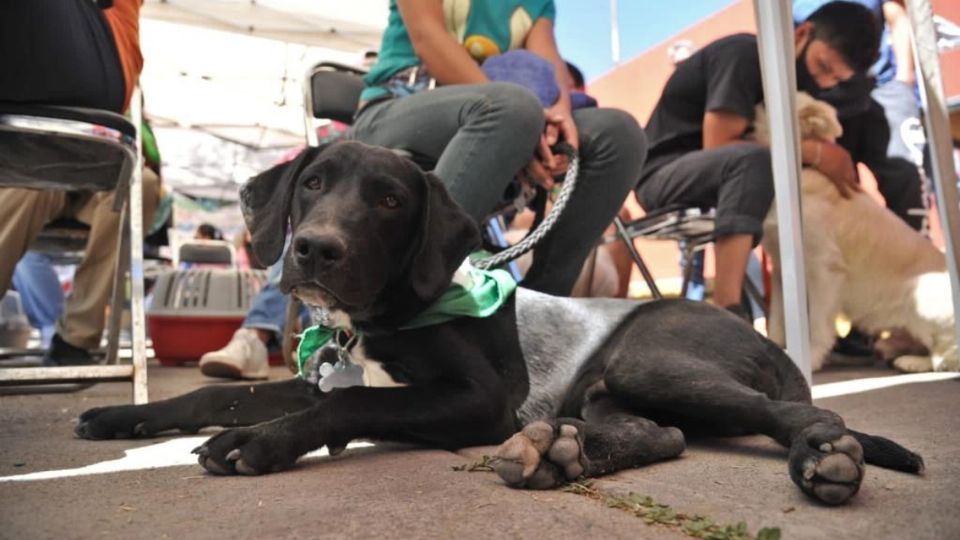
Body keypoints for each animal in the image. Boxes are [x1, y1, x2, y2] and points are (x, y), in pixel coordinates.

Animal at [77, 141, 924, 504]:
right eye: (313, 183)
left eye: (391, 200)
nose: (314, 248)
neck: (384, 315)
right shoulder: (315, 376)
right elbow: (215, 395)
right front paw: (123, 415)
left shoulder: (481, 398)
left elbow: (356, 401)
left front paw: (258, 443)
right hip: (609, 390)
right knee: (663, 434)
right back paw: (560, 453)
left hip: (647, 359)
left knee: (805, 414)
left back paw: (825, 461)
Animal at [756, 94, 952, 372]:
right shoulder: (781, 269)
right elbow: (777, 320)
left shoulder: (824, 269)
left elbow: (817, 324)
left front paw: (811, 359)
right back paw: (893, 349)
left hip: (919, 293)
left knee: (945, 355)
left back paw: (912, 362)